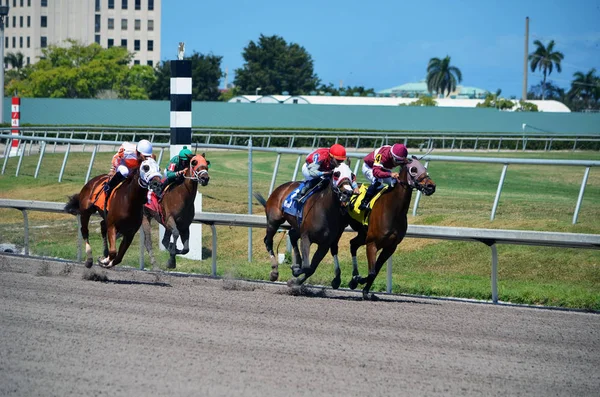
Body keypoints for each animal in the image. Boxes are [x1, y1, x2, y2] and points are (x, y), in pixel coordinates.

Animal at [346, 156, 436, 298]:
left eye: (424, 168)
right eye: (414, 169)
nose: (431, 186)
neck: (393, 209)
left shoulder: (390, 247)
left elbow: (375, 271)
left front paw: (364, 289)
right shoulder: (372, 243)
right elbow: (372, 271)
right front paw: (358, 281)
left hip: (363, 234)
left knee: (353, 244)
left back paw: (355, 275)